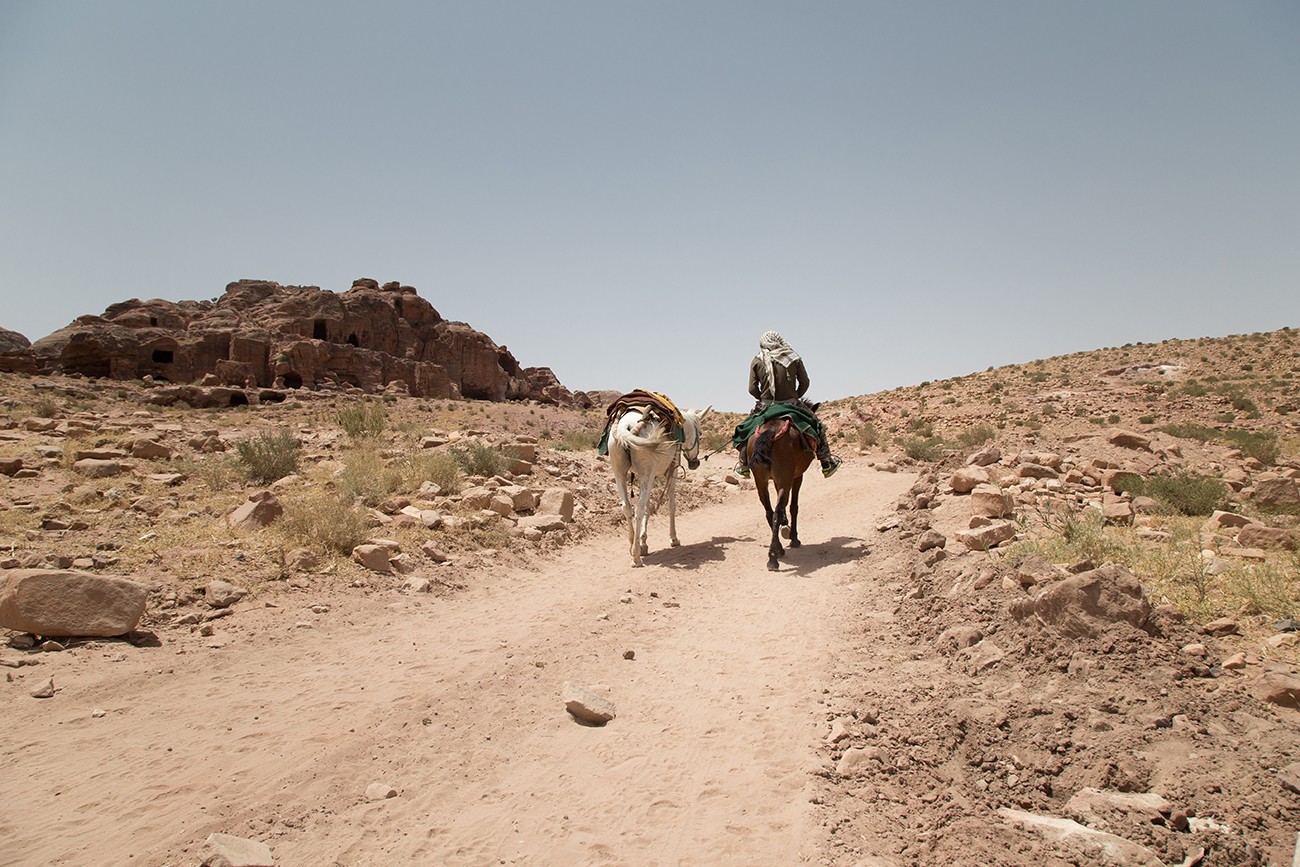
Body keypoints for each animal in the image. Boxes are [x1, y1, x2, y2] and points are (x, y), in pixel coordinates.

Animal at [743, 415, 811, 571]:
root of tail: (771, 430)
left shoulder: (776, 480)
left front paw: (785, 525)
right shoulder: (796, 477)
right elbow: (793, 507)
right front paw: (794, 538)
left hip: (760, 480)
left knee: (770, 511)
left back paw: (777, 549)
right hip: (785, 477)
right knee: (778, 510)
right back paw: (774, 557)